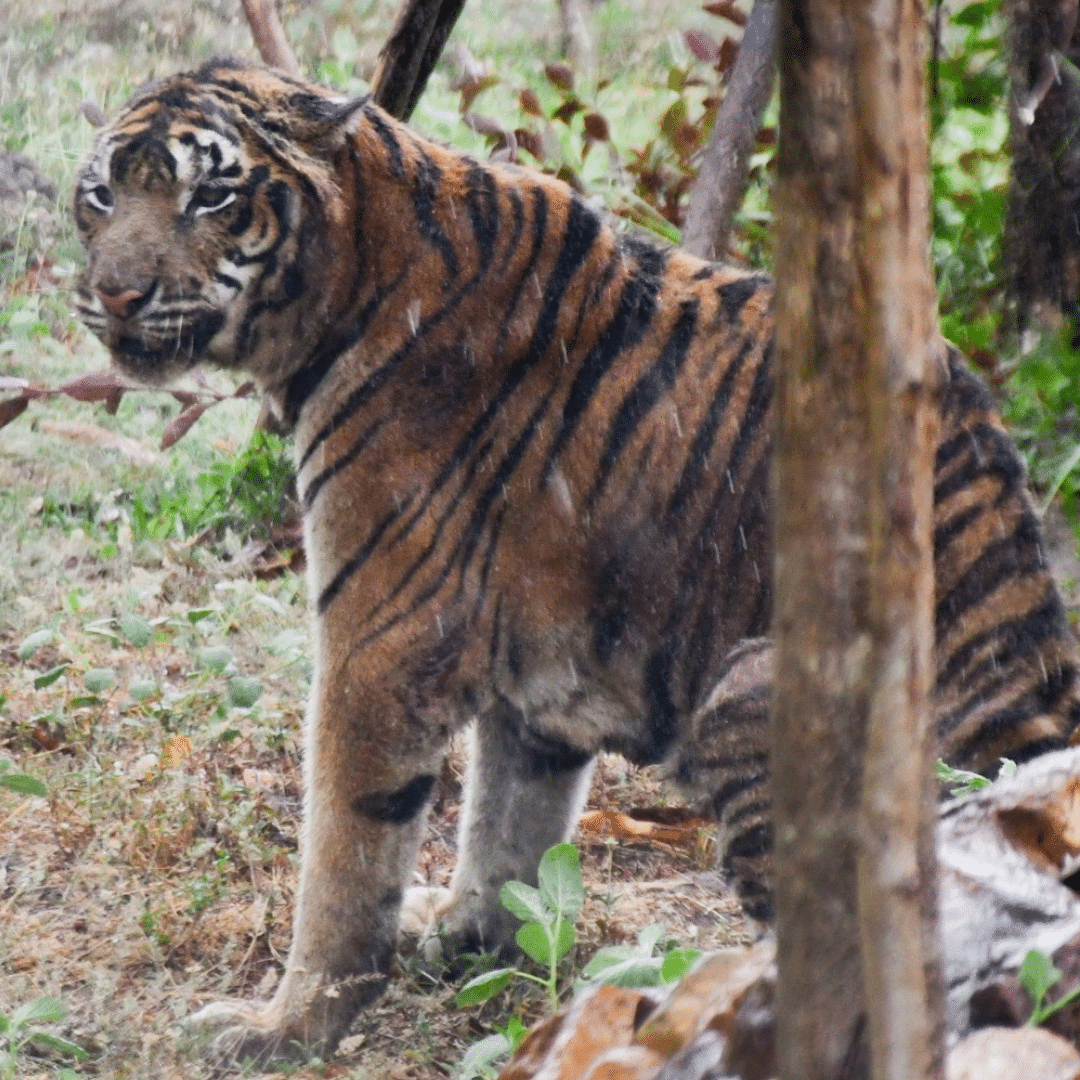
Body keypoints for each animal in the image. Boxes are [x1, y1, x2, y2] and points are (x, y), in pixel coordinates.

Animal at [72, 59, 1080, 1068]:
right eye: (102, 194)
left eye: (211, 196)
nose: (115, 296)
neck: (350, 279)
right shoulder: (538, 678)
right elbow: (507, 826)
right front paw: (470, 932)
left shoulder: (378, 650)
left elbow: (345, 859)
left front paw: (286, 1026)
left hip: (751, 695)